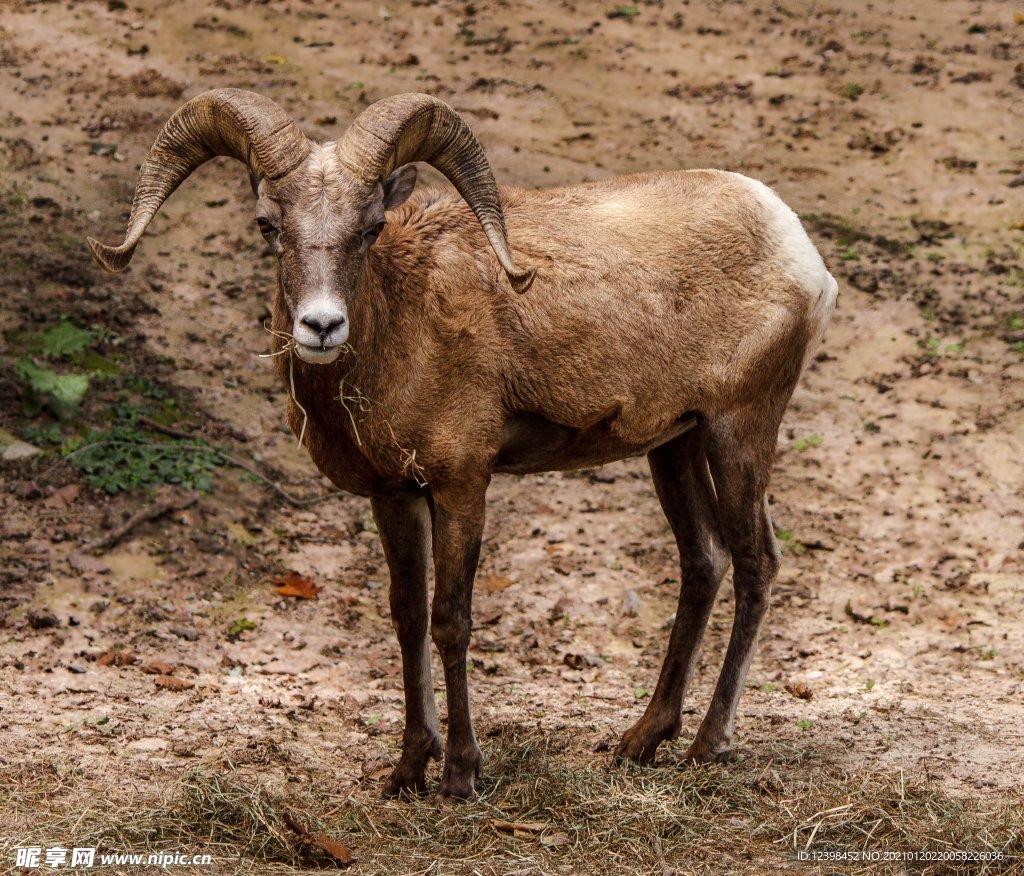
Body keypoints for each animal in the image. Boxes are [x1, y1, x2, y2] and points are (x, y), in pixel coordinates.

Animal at [88, 89, 835, 803]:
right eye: (269, 227)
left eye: (371, 228)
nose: (322, 326)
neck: (404, 329)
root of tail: (797, 249)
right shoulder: (393, 496)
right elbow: (407, 618)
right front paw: (405, 771)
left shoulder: (462, 487)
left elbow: (451, 621)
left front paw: (459, 776)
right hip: (673, 446)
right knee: (703, 562)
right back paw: (642, 741)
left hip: (738, 431)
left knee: (756, 564)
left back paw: (709, 746)